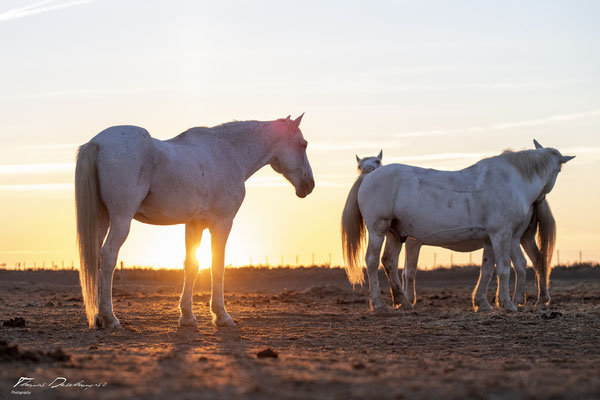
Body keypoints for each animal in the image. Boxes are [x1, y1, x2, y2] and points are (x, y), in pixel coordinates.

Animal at [76, 115, 314, 328]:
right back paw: (110, 318)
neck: (228, 152)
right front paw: (222, 316)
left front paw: (187, 317)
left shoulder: (194, 224)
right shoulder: (222, 223)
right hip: (121, 219)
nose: (309, 185)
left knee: (94, 257)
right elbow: (217, 265)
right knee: (108, 256)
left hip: (102, 219)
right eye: (303, 144)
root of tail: (96, 143)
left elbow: (192, 264)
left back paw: (98, 317)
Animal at [342, 141, 572, 312]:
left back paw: (404, 302)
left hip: (394, 234)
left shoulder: (491, 238)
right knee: (372, 263)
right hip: (378, 230)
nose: (540, 201)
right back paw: (378, 304)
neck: (512, 180)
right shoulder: (502, 234)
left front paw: (483, 303)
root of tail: (368, 177)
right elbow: (504, 269)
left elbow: (487, 269)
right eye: (559, 171)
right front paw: (507, 304)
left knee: (389, 262)